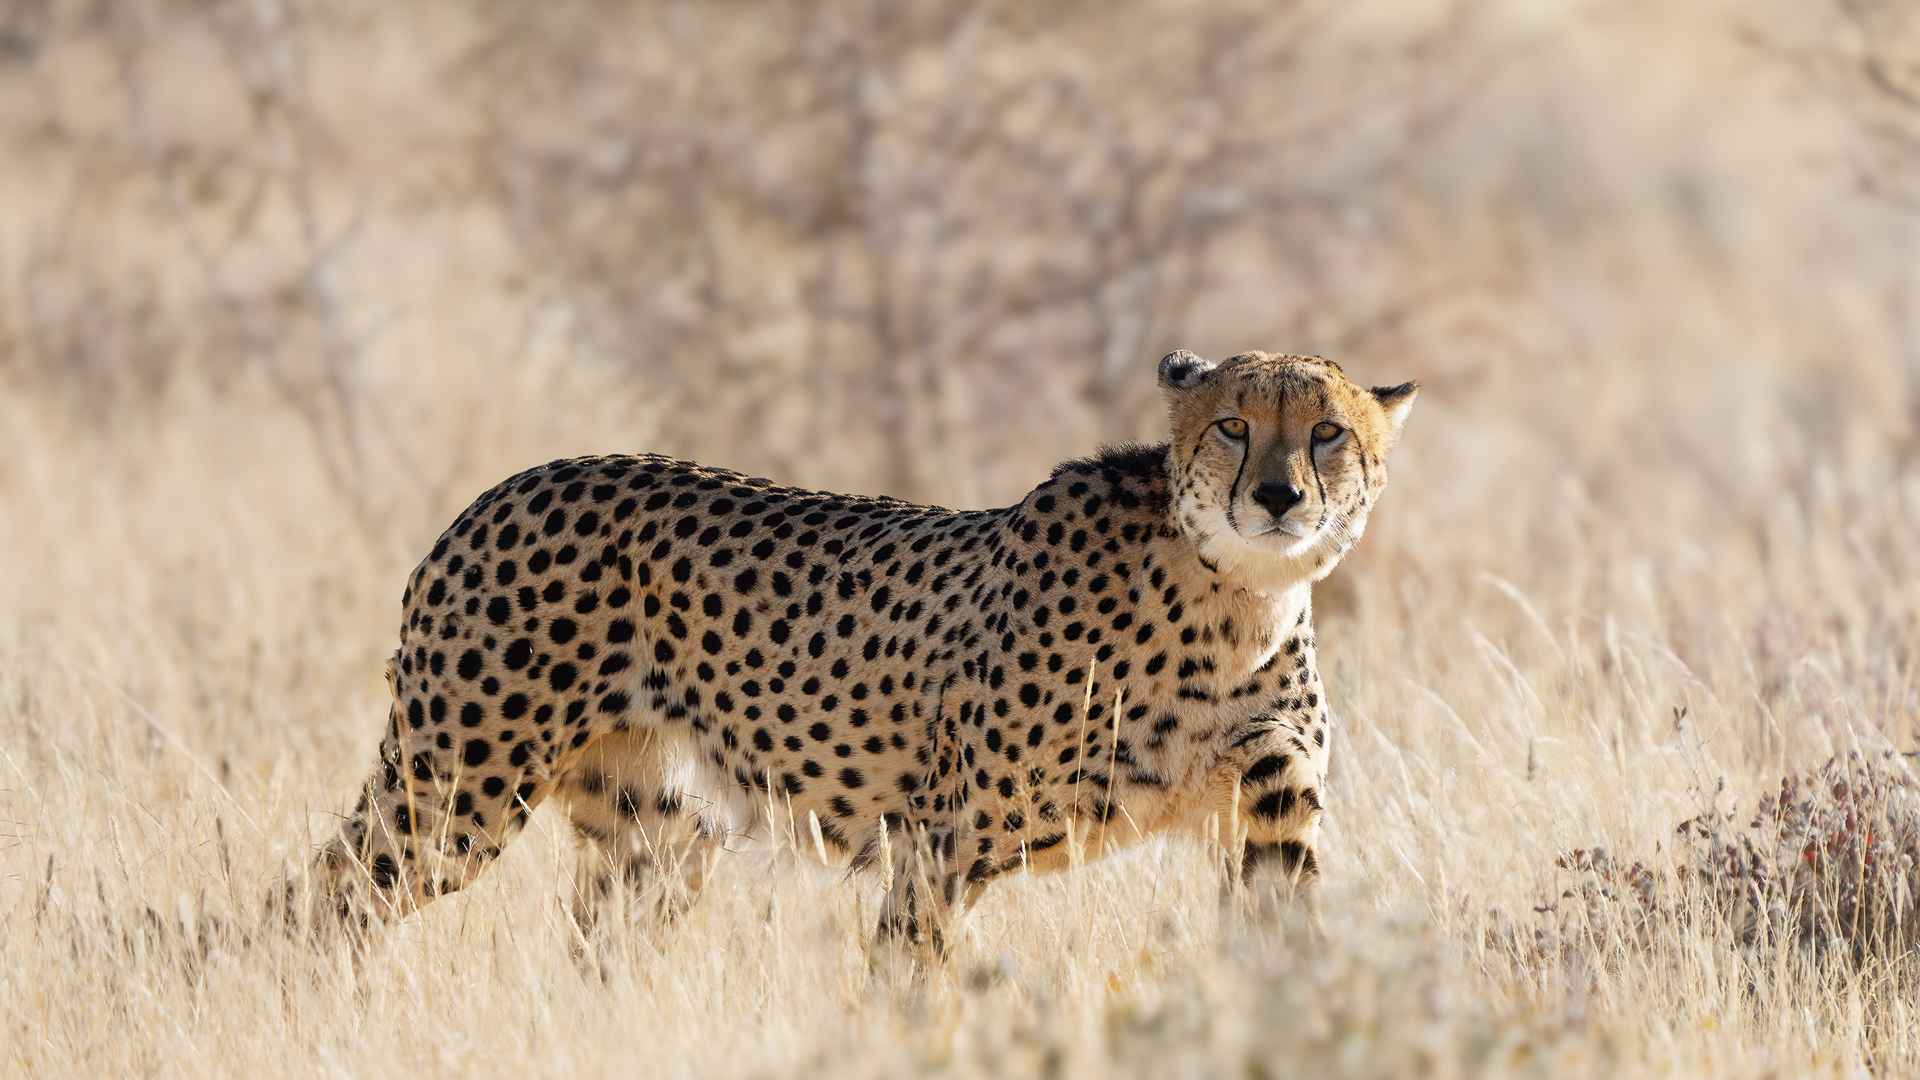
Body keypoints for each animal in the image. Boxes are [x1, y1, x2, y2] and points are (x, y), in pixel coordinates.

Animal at [307, 351, 1420, 949]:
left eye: (1327, 432)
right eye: (1233, 424)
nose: (1277, 496)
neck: (1232, 606)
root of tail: (508, 486)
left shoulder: (1268, 829)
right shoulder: (941, 844)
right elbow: (916, 975)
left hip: (655, 834)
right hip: (461, 791)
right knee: (327, 893)